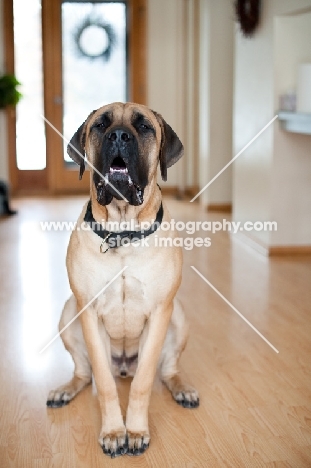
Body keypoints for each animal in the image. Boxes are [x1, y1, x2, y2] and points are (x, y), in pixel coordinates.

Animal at [47, 102, 200, 458]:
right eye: (100, 125)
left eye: (144, 127)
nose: (118, 135)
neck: (123, 233)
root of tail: (124, 366)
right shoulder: (88, 312)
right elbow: (103, 383)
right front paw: (115, 432)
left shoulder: (160, 312)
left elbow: (144, 382)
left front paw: (136, 431)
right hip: (68, 314)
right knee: (84, 372)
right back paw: (66, 389)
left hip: (179, 316)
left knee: (168, 370)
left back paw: (182, 389)